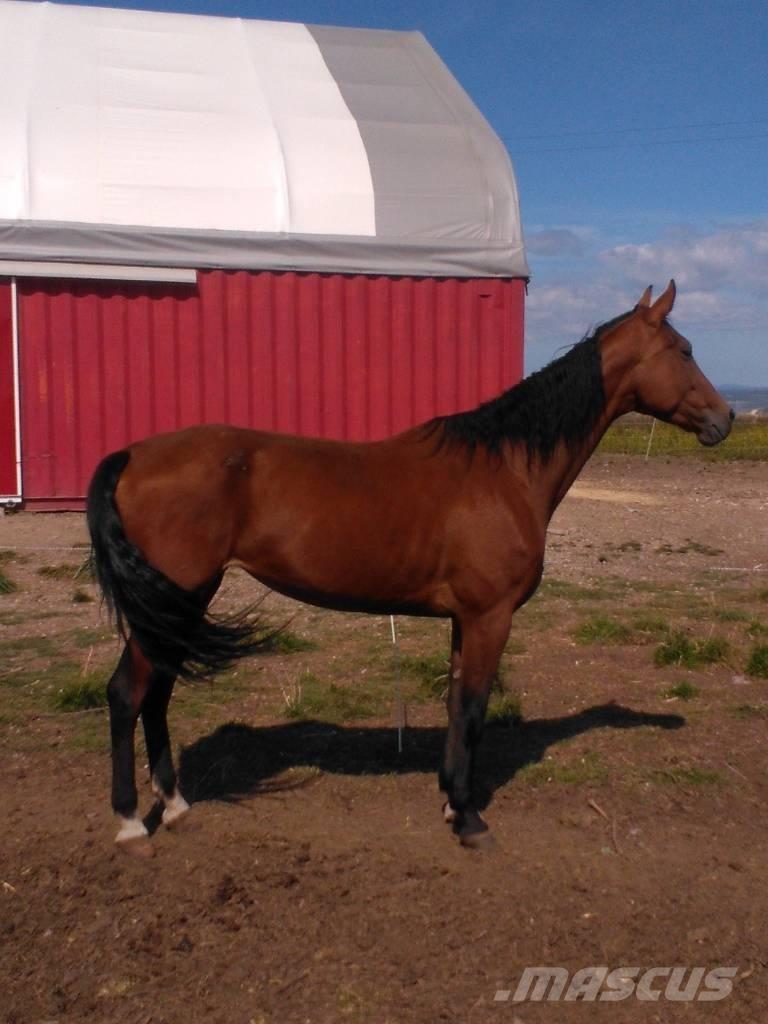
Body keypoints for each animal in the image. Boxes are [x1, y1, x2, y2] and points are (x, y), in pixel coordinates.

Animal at [87, 280, 733, 856]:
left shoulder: (464, 620)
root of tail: (132, 455)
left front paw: (451, 801)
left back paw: (174, 805)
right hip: (176, 597)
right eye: (684, 350)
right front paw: (470, 820)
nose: (724, 419)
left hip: (179, 603)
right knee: (127, 694)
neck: (504, 471)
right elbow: (472, 710)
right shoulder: (490, 617)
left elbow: (455, 706)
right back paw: (131, 823)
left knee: (157, 694)